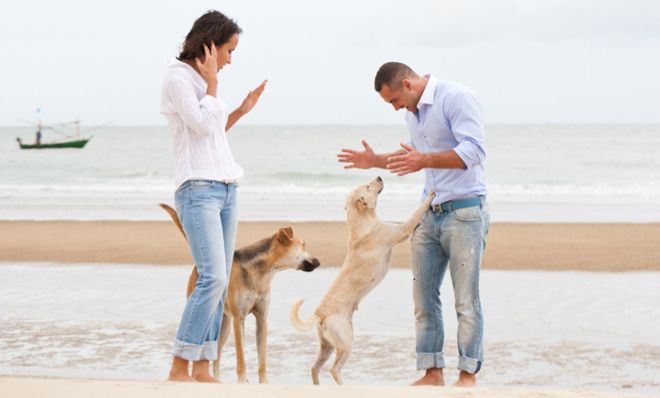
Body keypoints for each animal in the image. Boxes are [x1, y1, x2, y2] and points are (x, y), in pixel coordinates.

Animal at [160, 204, 320, 384]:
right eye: (304, 245)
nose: (318, 262)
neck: (262, 272)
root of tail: (199, 266)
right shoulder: (239, 319)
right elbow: (241, 357)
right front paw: (243, 381)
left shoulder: (262, 319)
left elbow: (262, 358)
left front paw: (264, 382)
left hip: (224, 326)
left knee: (216, 354)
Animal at [288, 178, 434, 386]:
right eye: (367, 186)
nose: (379, 177)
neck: (363, 221)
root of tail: (320, 313)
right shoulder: (402, 230)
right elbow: (417, 212)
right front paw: (431, 195)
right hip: (346, 342)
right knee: (334, 369)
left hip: (327, 346)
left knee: (314, 367)